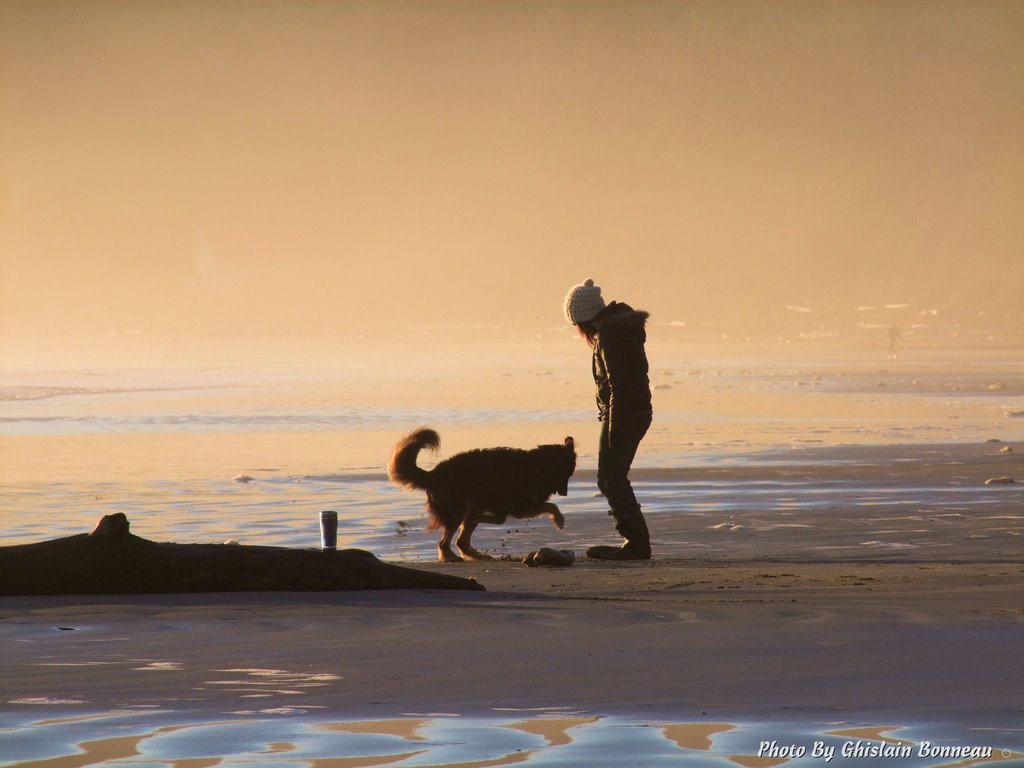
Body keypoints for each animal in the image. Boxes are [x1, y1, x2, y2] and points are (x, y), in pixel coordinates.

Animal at [387, 430, 577, 561]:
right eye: (567, 474)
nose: (565, 493)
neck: (540, 466)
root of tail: (432, 474)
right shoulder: (520, 507)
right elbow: (551, 506)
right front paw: (559, 521)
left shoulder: (514, 507)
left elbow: (502, 518)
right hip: (456, 511)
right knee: (446, 541)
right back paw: (451, 557)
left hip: (468, 507)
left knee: (461, 540)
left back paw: (476, 555)